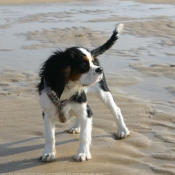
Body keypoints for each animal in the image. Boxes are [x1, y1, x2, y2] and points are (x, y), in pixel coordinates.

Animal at [37, 23, 129, 163]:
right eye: (84, 64)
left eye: (92, 62)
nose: (99, 69)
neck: (67, 90)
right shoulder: (47, 114)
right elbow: (49, 136)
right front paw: (48, 153)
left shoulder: (86, 113)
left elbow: (84, 136)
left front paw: (82, 153)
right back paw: (76, 126)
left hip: (103, 92)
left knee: (116, 110)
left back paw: (122, 130)